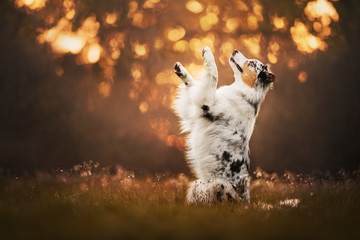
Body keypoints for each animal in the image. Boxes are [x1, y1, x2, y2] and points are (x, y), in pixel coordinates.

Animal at [174, 46, 276, 202]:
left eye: (252, 63)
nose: (235, 50)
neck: (244, 94)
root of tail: (246, 203)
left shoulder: (206, 104)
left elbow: (213, 74)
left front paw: (208, 53)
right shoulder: (194, 111)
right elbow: (192, 85)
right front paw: (181, 70)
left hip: (219, 184)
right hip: (198, 184)